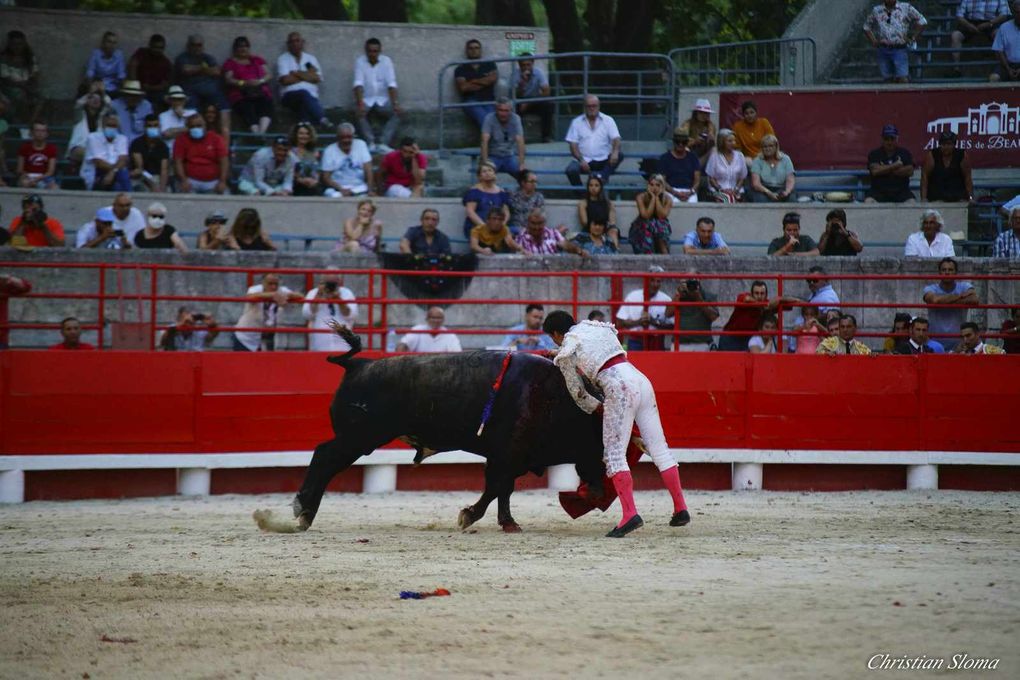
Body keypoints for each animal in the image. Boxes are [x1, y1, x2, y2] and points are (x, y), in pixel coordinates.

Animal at [253, 326, 603, 534]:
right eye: (601, 444)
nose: (600, 495)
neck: (555, 397)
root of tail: (358, 364)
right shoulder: (507, 455)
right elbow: (496, 487)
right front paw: (469, 516)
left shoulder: (512, 457)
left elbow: (504, 490)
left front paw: (508, 523)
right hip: (359, 438)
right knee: (325, 457)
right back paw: (304, 511)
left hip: (357, 438)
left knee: (324, 456)